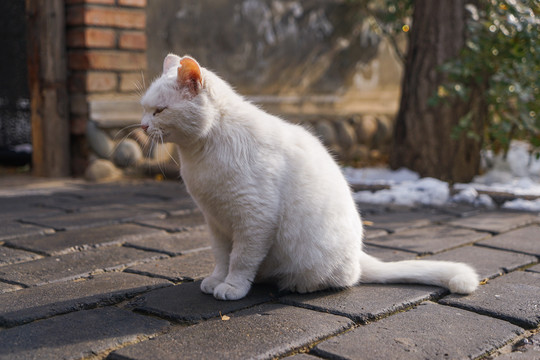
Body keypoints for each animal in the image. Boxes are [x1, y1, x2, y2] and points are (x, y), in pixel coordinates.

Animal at [141, 54, 478, 300]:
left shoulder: (254, 219)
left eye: (159, 111)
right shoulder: (216, 221)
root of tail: (359, 256)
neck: (200, 152)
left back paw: (296, 285)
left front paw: (233, 287)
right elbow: (222, 257)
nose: (142, 126)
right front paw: (215, 280)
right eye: (144, 109)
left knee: (341, 280)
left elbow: (241, 259)